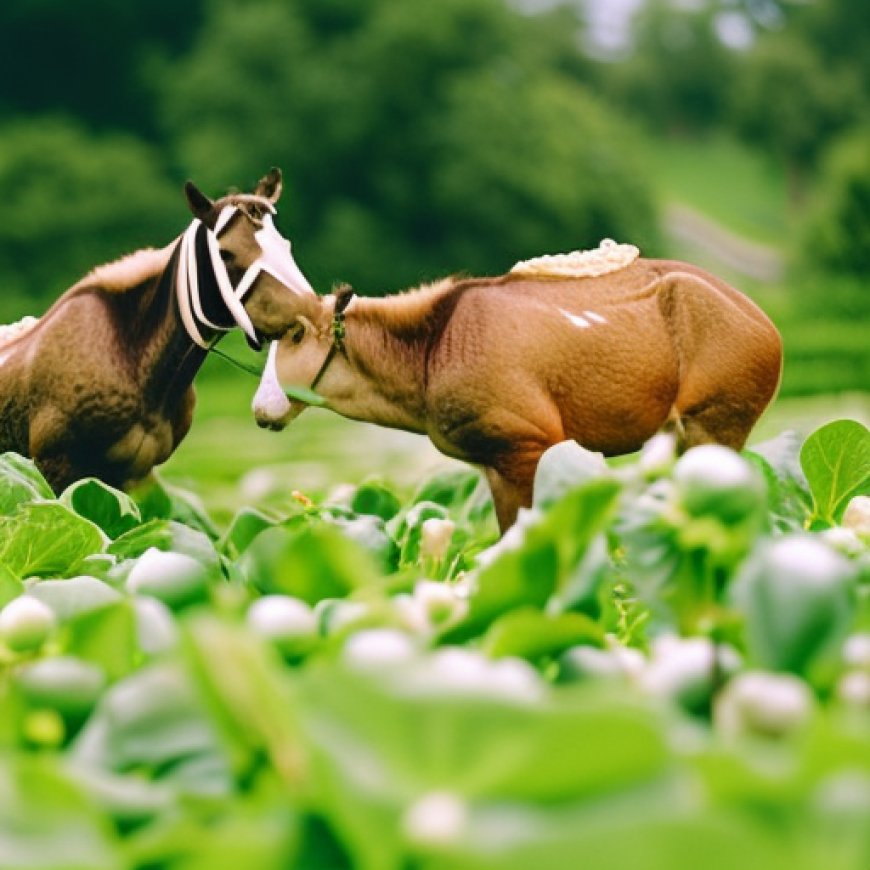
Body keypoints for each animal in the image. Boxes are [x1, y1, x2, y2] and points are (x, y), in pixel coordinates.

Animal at [250, 242, 784, 536]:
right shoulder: (495, 465)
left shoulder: (528, 446)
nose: (262, 407)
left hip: (716, 423)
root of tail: (769, 328)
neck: (428, 353)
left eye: (294, 334)